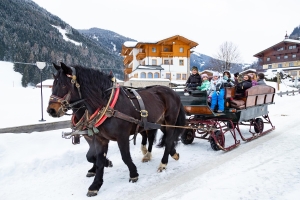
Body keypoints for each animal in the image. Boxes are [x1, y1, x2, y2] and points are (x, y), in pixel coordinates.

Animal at [46, 63, 185, 197]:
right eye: (53, 84)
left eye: (63, 85)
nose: (51, 110)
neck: (107, 105)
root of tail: (173, 92)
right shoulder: (100, 138)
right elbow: (98, 160)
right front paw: (95, 185)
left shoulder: (122, 136)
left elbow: (125, 156)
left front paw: (133, 174)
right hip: (158, 122)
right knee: (159, 138)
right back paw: (168, 154)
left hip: (170, 122)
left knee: (168, 140)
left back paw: (163, 163)